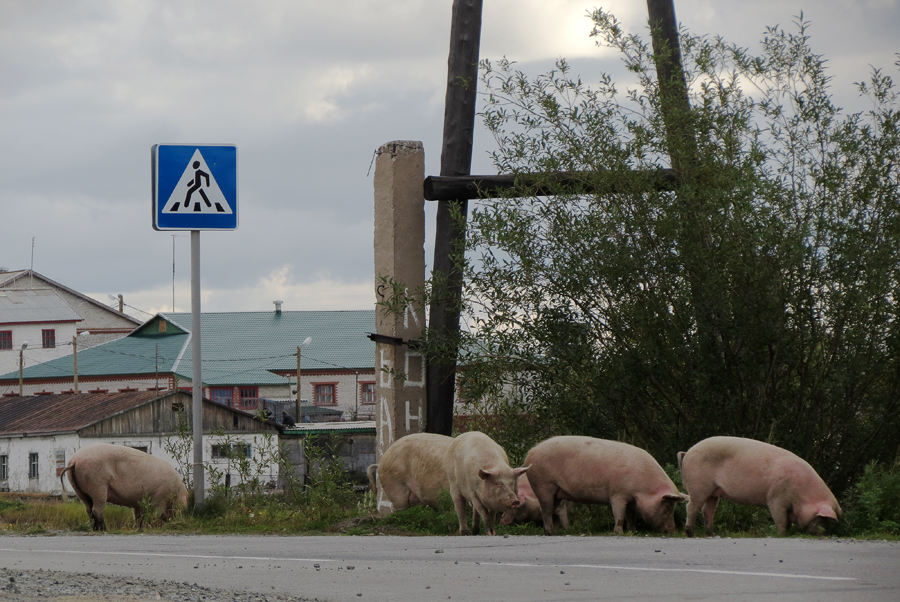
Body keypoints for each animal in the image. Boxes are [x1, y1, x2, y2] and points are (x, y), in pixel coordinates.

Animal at [59, 440, 189, 528]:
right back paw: (104, 529)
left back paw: (95, 528)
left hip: (79, 489)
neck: (177, 491)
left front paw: (140, 529)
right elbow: (157, 514)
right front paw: (155, 526)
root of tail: (74, 460)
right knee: (97, 510)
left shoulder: (138, 502)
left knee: (88, 509)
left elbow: (138, 517)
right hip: (97, 484)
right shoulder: (161, 496)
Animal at [524, 434, 684, 532]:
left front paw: (632, 531)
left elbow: (631, 515)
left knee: (551, 509)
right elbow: (619, 514)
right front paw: (618, 532)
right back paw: (551, 532)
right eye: (667, 506)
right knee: (545, 509)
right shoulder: (618, 494)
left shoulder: (631, 499)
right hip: (543, 485)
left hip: (556, 491)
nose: (673, 530)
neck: (644, 487)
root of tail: (530, 453)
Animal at [684, 434, 844, 536]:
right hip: (698, 485)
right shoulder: (776, 498)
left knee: (707, 510)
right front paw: (782, 535)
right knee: (692, 506)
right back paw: (690, 533)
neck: (802, 494)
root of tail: (688, 452)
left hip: (713, 491)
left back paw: (711, 534)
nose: (822, 534)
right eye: (821, 518)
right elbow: (781, 521)